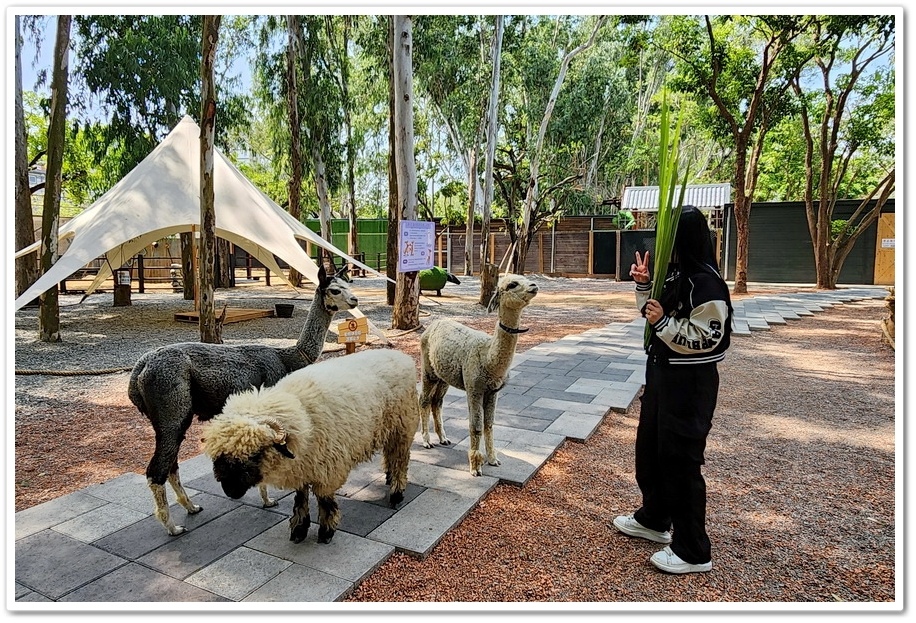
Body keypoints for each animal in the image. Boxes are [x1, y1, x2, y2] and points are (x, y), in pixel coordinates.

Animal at [200, 348, 418, 544]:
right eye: (217, 457)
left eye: (257, 453)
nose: (230, 490)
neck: (302, 416)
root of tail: (401, 356)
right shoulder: (302, 468)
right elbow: (300, 499)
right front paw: (299, 529)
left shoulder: (327, 470)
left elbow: (325, 501)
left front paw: (326, 532)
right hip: (389, 430)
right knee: (391, 455)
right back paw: (389, 477)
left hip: (402, 427)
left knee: (401, 459)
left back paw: (397, 493)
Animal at [420, 274, 540, 478]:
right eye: (512, 284)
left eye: (525, 278)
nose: (534, 285)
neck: (488, 358)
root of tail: (434, 323)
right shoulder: (474, 388)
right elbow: (475, 426)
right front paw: (475, 467)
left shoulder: (493, 391)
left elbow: (489, 425)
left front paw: (493, 460)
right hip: (428, 369)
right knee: (424, 400)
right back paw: (426, 441)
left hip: (444, 375)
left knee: (437, 402)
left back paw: (443, 438)